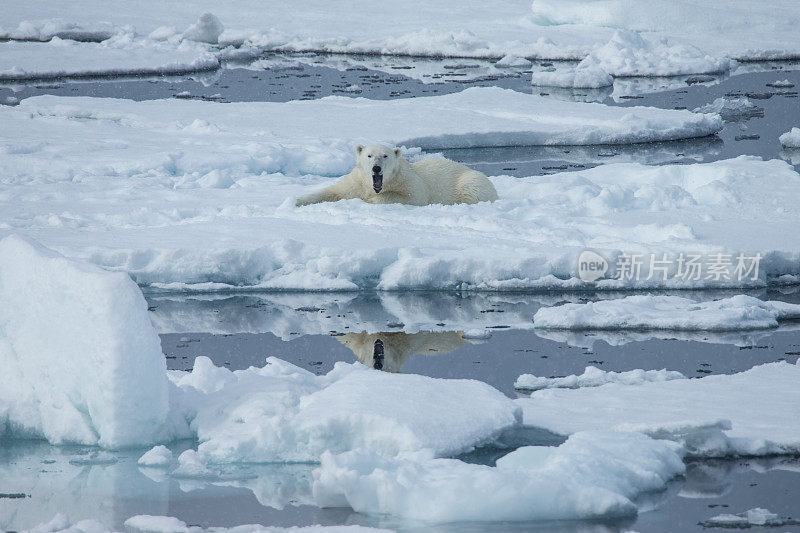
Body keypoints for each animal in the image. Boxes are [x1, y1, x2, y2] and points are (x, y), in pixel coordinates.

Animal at [296, 143, 494, 206]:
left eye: (385, 155)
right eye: (369, 155)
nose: (376, 168)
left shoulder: (410, 182)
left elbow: (410, 196)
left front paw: (369, 200)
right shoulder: (354, 182)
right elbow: (332, 191)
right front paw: (297, 200)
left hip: (470, 180)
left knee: (472, 189)